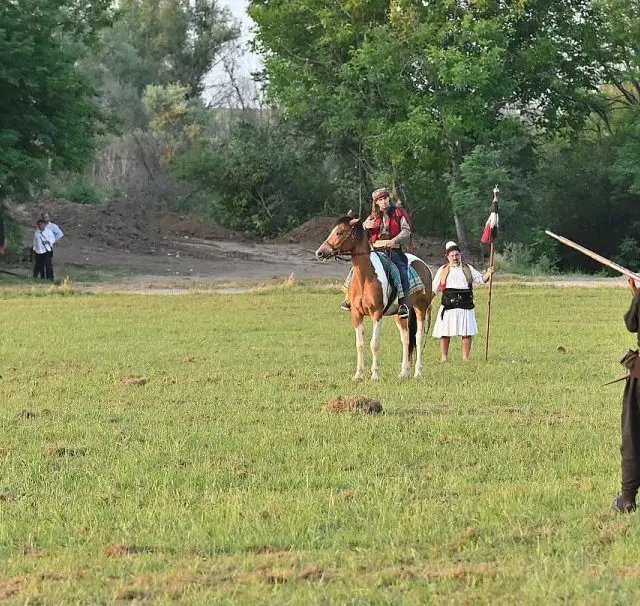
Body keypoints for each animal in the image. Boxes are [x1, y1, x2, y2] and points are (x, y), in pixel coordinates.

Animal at [316, 216, 434, 380]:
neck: (365, 277)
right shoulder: (356, 314)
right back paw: (404, 372)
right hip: (400, 314)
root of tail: (424, 266)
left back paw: (418, 373)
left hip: (420, 308)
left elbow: (374, 344)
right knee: (406, 338)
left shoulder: (376, 313)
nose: (320, 253)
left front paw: (375, 375)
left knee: (419, 337)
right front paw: (358, 375)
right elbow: (360, 343)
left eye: (339, 232)